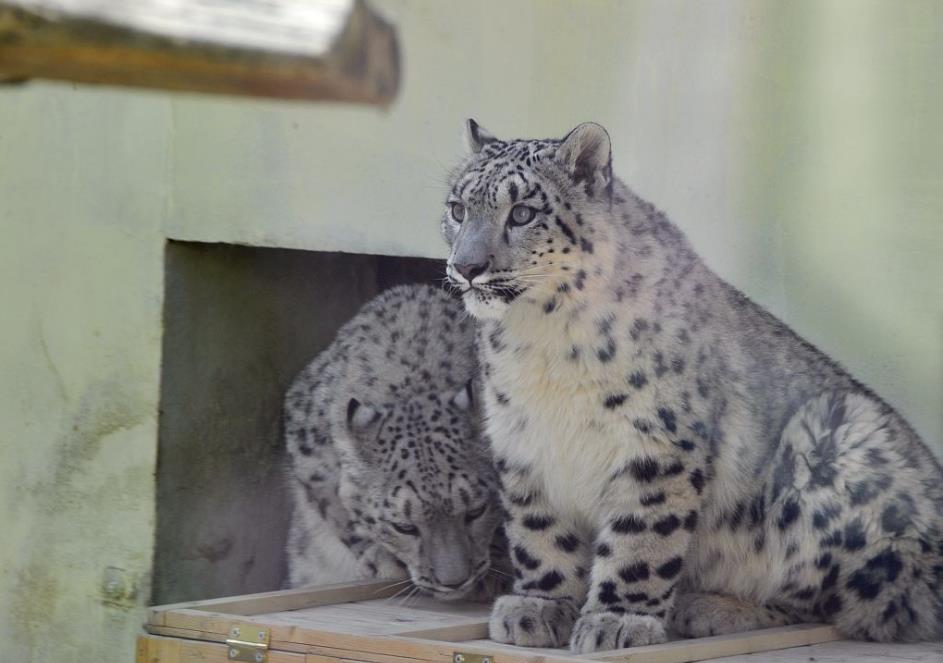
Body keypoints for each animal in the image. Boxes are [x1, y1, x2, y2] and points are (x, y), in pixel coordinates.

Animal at [282, 286, 508, 600]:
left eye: (476, 510)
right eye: (405, 527)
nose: (453, 581)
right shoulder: (309, 457)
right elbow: (337, 510)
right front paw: (381, 560)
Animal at [442, 120, 943, 652]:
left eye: (523, 212)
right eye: (457, 208)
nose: (466, 266)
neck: (540, 341)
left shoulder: (656, 441)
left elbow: (640, 537)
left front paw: (618, 619)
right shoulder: (524, 442)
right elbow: (540, 532)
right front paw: (539, 606)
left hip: (840, 437)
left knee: (847, 603)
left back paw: (711, 607)